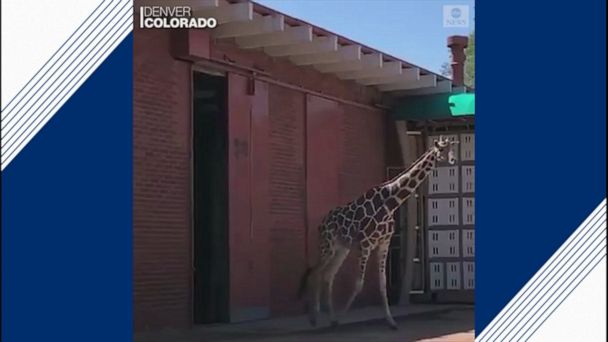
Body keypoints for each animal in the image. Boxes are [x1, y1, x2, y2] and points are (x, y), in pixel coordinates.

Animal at [296, 134, 458, 328]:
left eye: (452, 147)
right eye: (441, 149)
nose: (453, 160)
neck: (392, 202)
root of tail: (322, 223)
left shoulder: (384, 243)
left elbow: (382, 284)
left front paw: (391, 322)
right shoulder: (366, 244)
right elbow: (359, 284)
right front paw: (343, 316)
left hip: (342, 249)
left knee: (327, 275)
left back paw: (331, 318)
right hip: (328, 246)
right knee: (315, 273)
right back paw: (314, 318)